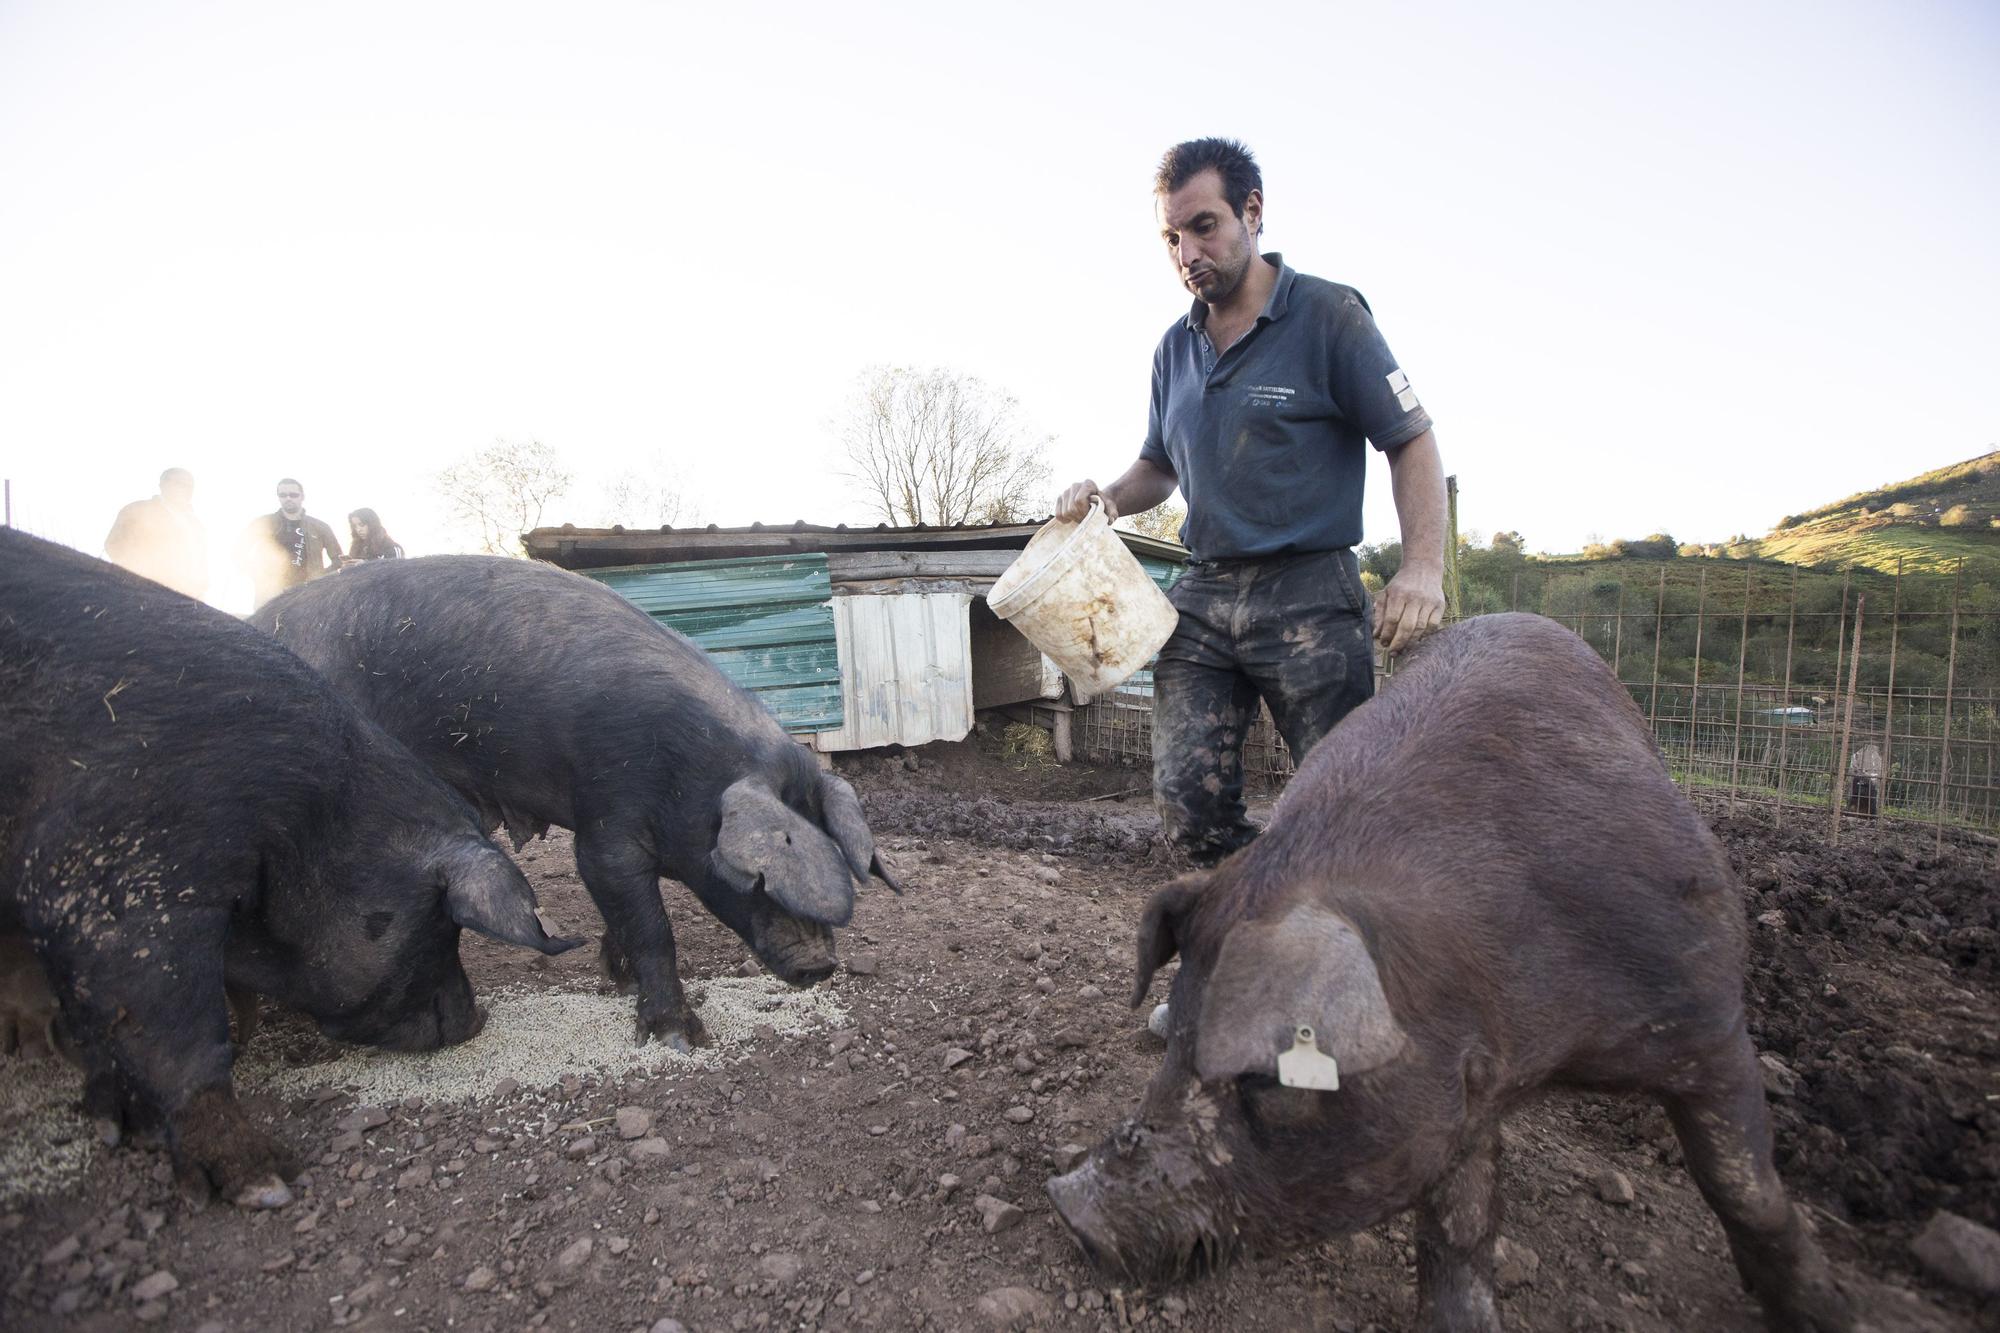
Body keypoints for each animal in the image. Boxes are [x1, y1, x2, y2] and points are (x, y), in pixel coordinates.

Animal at [0, 528, 580, 1200]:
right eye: (441, 925)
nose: (476, 1018)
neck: (294, 826)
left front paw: (121, 1124)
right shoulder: (122, 877)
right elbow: (176, 1033)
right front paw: (266, 1182)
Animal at [256, 552, 900, 1048]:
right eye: (761, 882)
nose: (820, 965)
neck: (688, 774)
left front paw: (618, 981)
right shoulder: (606, 823)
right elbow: (649, 924)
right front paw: (679, 1040)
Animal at [1056, 612, 1848, 1328]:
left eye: (1267, 1080)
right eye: (1183, 1030)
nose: (1072, 1203)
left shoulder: (1711, 1016)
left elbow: (1744, 1188)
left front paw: (1828, 1313)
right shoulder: (1461, 1086)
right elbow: (1459, 1224)